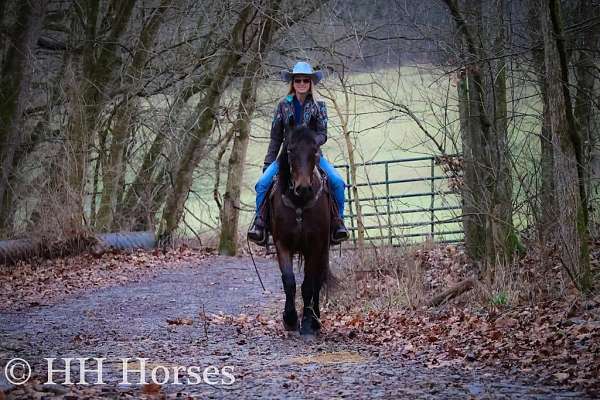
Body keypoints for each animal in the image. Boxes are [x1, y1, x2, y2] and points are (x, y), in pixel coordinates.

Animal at [268, 126, 330, 336]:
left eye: (314, 151)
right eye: (290, 151)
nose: (303, 188)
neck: (299, 204)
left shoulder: (315, 245)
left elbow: (309, 285)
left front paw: (307, 324)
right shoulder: (282, 243)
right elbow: (289, 281)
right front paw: (290, 319)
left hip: (324, 250)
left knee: (318, 281)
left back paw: (316, 320)